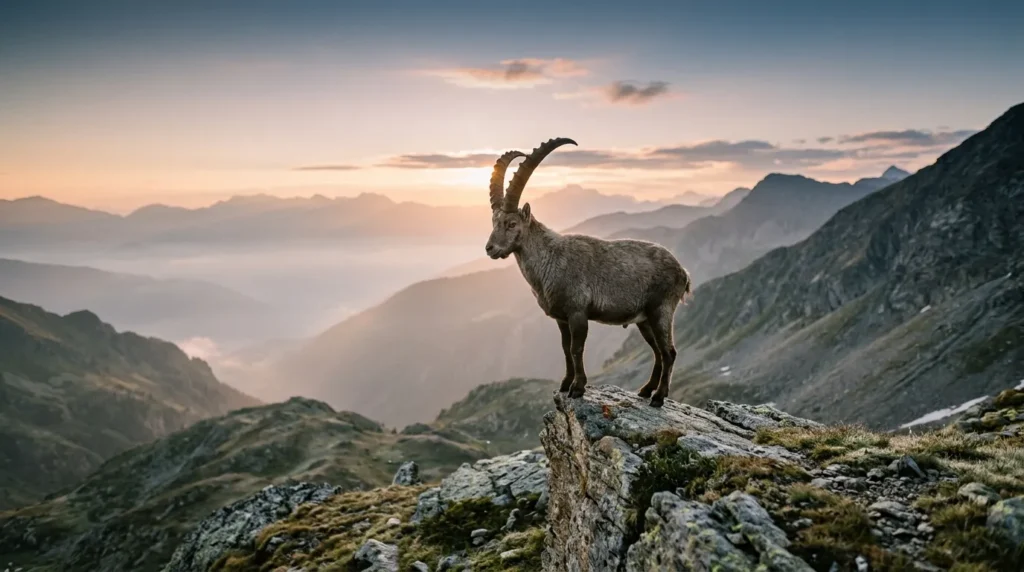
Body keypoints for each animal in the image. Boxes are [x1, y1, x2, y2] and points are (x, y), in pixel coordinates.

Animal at [484, 138, 692, 407]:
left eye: (511, 224)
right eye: (493, 222)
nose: (490, 248)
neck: (550, 260)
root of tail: (683, 271)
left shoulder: (577, 312)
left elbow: (577, 349)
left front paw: (578, 387)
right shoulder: (561, 318)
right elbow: (565, 349)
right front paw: (565, 384)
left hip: (661, 310)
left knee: (669, 352)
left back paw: (658, 397)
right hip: (644, 319)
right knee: (657, 351)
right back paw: (646, 390)